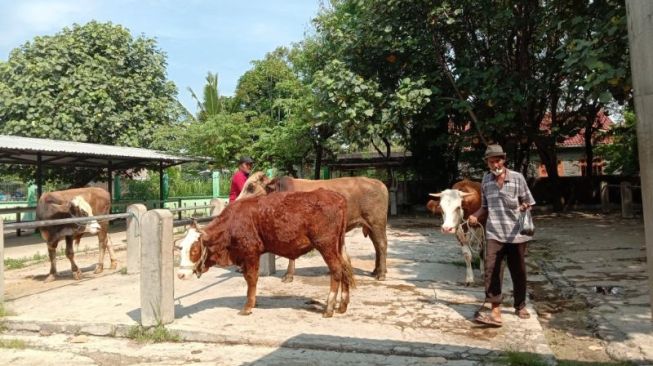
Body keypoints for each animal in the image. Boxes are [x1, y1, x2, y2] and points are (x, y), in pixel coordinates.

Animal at [176, 189, 354, 318]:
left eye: (194, 249)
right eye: (181, 248)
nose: (180, 274)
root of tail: (337, 197)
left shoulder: (250, 252)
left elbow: (251, 278)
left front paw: (248, 306)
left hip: (326, 245)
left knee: (337, 270)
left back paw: (329, 307)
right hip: (339, 245)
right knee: (345, 267)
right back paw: (342, 305)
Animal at [234, 173, 388, 282]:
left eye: (251, 187)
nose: (235, 204)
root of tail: (379, 183)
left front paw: (288, 276)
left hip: (376, 223)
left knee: (381, 245)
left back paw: (381, 274)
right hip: (371, 226)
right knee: (377, 246)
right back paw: (376, 270)